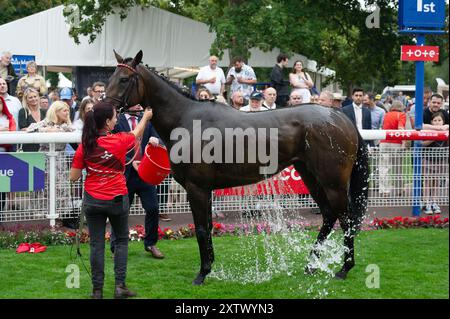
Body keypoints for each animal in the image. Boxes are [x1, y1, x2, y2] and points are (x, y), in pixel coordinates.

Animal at [105, 51, 370, 286]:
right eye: (111, 77)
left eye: (125, 79)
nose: (106, 110)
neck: (187, 120)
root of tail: (340, 117)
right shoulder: (205, 190)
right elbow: (208, 227)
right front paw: (209, 266)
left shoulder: (197, 188)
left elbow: (201, 229)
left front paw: (202, 273)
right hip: (310, 177)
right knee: (329, 216)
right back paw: (311, 265)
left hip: (332, 183)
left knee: (345, 220)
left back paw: (344, 268)